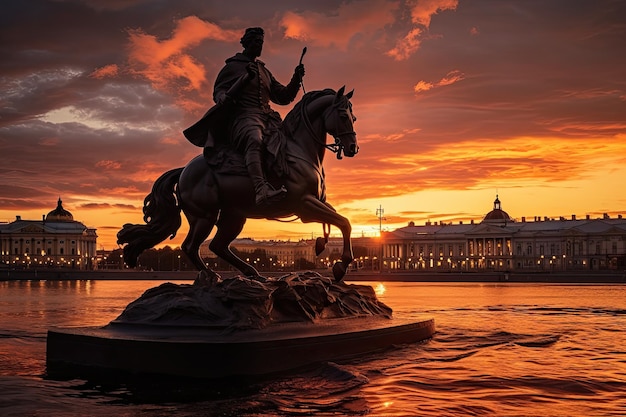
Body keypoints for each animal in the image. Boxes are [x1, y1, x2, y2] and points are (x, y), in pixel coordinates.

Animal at [117, 86, 358, 284]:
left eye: (354, 117)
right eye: (343, 115)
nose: (352, 148)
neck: (298, 149)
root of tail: (184, 170)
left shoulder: (313, 202)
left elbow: (338, 219)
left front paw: (321, 245)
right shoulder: (303, 204)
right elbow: (344, 222)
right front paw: (340, 265)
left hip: (233, 217)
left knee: (216, 246)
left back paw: (252, 273)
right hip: (205, 217)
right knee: (191, 246)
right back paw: (211, 275)